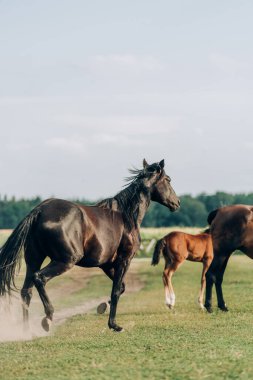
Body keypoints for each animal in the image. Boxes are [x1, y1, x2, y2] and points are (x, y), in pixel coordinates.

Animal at [0, 159, 180, 332]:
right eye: (168, 179)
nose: (177, 203)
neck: (126, 217)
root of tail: (40, 211)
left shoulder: (107, 265)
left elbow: (121, 287)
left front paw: (103, 306)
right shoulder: (124, 260)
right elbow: (116, 291)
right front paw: (114, 325)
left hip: (34, 259)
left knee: (26, 292)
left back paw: (27, 331)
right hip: (65, 261)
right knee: (39, 278)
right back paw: (48, 319)